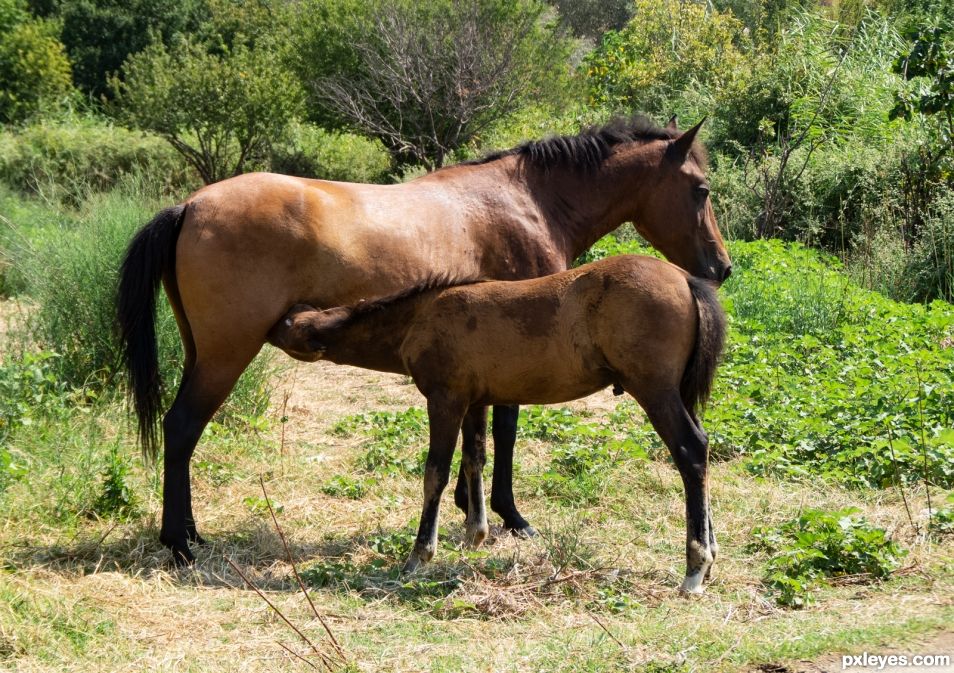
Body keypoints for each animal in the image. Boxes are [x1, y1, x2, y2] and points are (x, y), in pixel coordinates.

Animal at [264, 253, 724, 592]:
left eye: (288, 324)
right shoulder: (475, 401)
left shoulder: (445, 400)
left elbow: (436, 473)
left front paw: (419, 556)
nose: (267, 326)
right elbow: (475, 460)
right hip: (678, 392)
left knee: (691, 450)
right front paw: (475, 535)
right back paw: (711, 555)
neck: (422, 315)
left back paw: (694, 568)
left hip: (655, 390)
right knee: (699, 452)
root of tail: (686, 280)